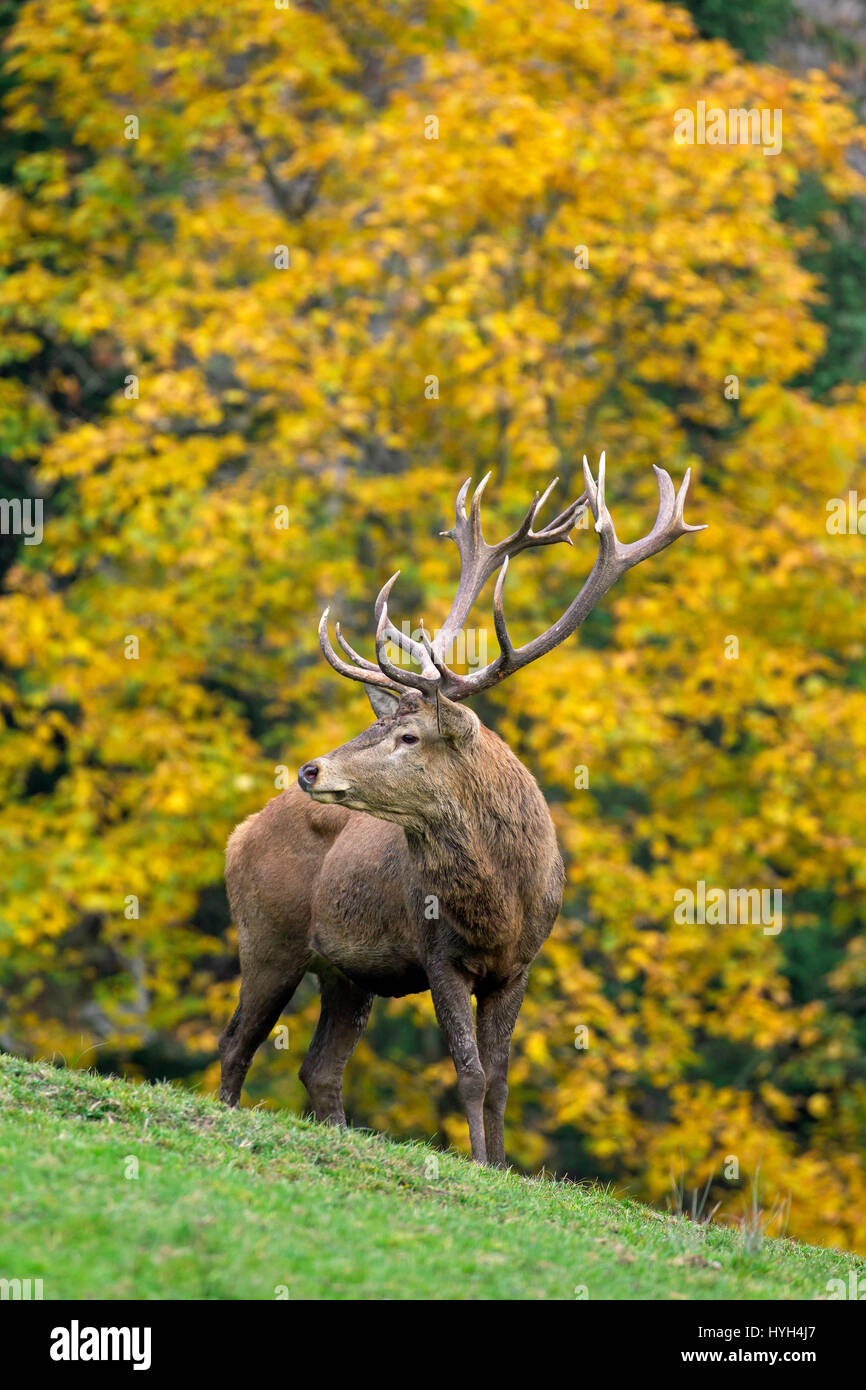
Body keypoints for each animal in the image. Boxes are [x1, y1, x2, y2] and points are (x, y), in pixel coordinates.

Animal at [218, 455, 706, 1162]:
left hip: (345, 971)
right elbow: (470, 1074)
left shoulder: (520, 963)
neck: (499, 903)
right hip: (265, 936)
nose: (311, 769)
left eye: (406, 735)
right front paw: (478, 1161)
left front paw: (499, 1165)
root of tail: (240, 831)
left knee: (319, 1067)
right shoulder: (437, 953)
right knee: (237, 1041)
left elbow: (500, 1079)